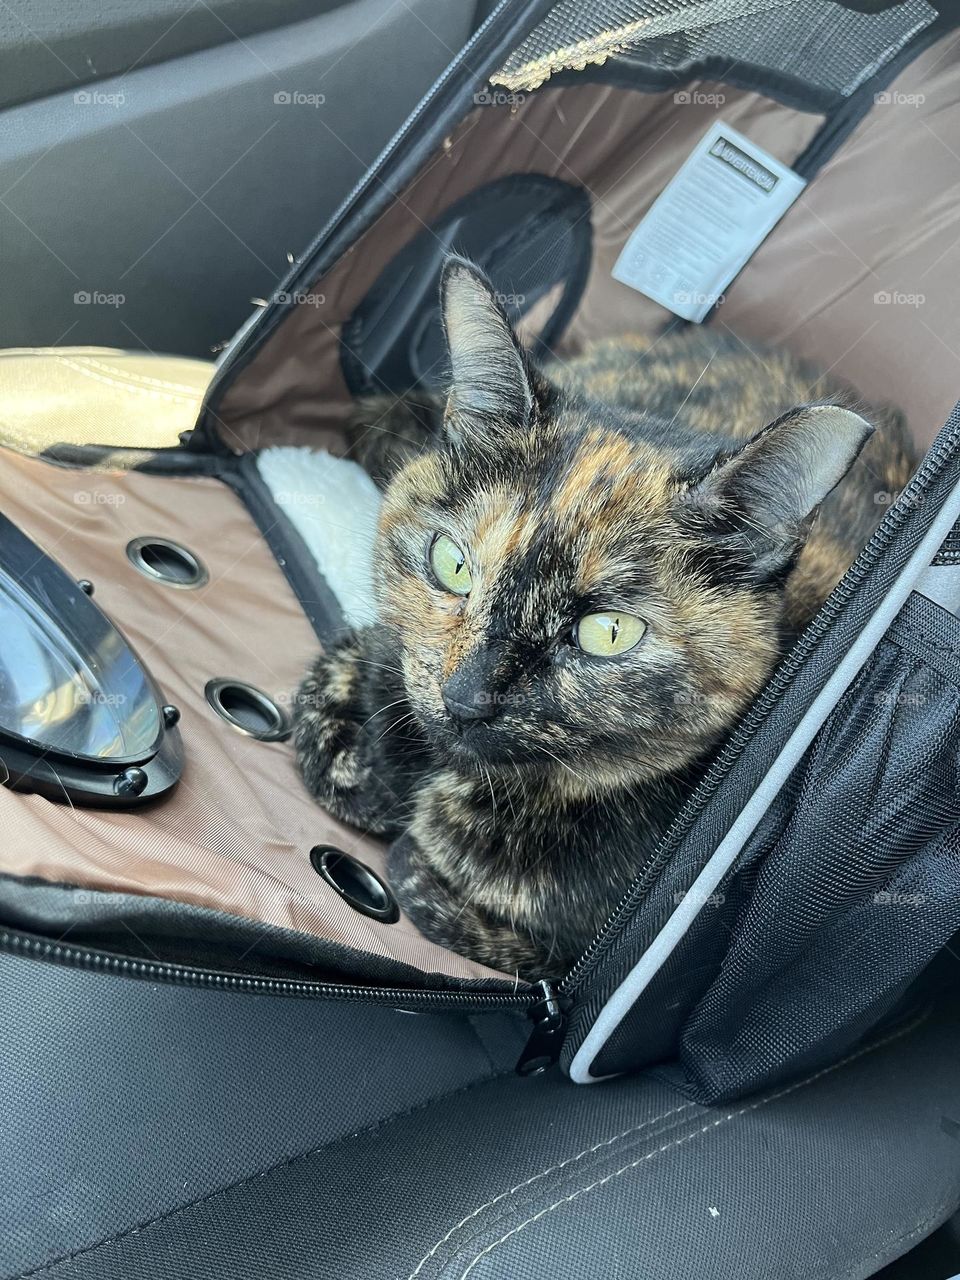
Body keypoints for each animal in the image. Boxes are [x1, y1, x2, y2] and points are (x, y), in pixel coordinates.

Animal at [295, 259, 916, 977]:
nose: (466, 699)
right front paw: (372, 763)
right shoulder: (367, 654)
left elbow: (418, 877)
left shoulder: (558, 961)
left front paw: (408, 835)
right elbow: (328, 736)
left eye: (607, 633)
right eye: (452, 564)